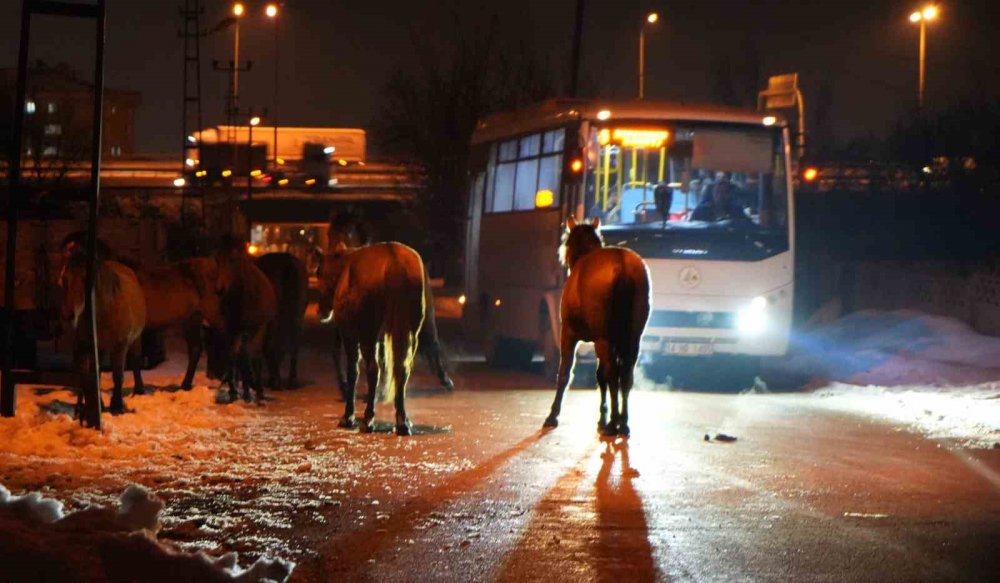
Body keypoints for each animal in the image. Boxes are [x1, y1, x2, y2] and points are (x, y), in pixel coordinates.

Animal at [209, 235, 276, 404]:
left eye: (233, 259)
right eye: (216, 259)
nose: (219, 289)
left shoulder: (255, 328)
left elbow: (250, 356)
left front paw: (252, 391)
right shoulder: (231, 330)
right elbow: (233, 356)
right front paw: (233, 392)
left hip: (258, 330)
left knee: (254, 355)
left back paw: (256, 391)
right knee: (242, 356)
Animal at [320, 240, 426, 436]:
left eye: (319, 272)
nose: (322, 310)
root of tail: (394, 261)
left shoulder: (351, 336)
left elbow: (353, 372)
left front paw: (348, 416)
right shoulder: (382, 339)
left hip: (367, 334)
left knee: (372, 369)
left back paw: (368, 419)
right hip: (412, 333)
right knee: (402, 369)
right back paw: (402, 420)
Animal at [544, 217, 652, 436]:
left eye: (567, 242)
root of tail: (623, 267)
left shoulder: (569, 334)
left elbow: (565, 373)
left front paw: (553, 415)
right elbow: (600, 376)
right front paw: (603, 417)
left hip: (604, 338)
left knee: (613, 375)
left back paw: (614, 423)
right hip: (632, 338)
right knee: (625, 375)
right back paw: (622, 423)